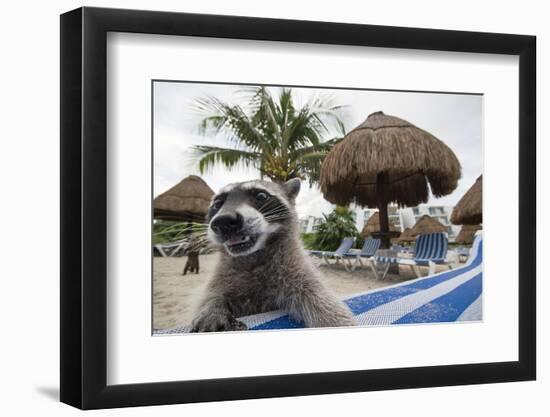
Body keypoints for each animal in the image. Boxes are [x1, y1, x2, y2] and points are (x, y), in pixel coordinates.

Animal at [192, 178, 358, 332]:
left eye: (261, 196)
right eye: (217, 204)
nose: (223, 222)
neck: (254, 254)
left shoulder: (296, 269)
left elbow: (323, 300)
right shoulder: (223, 273)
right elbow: (211, 294)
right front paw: (212, 308)